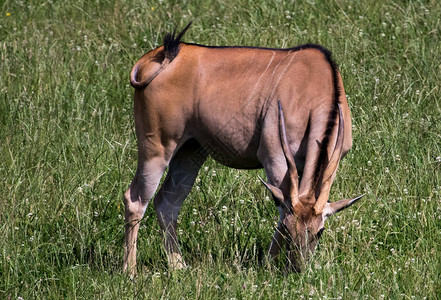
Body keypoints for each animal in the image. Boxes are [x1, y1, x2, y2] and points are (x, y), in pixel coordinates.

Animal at [122, 21, 362, 274]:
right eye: (288, 229)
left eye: (319, 232)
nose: (297, 268)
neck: (314, 87)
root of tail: (161, 56)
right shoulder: (274, 158)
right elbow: (281, 207)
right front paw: (268, 263)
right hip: (157, 148)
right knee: (136, 199)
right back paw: (130, 271)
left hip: (190, 152)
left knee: (167, 203)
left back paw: (179, 266)